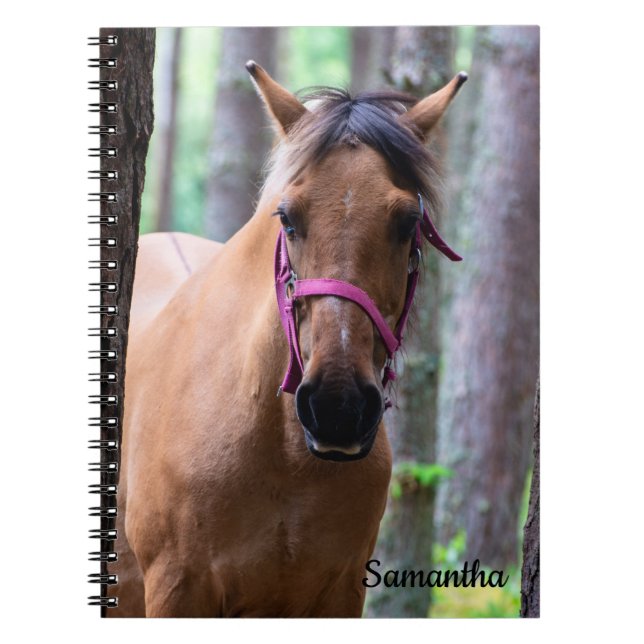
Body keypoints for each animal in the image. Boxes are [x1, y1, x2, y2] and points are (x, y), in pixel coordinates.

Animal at [109, 61, 466, 617]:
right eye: (288, 217)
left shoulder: (340, 593)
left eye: (408, 221)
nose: (338, 406)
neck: (284, 455)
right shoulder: (176, 588)